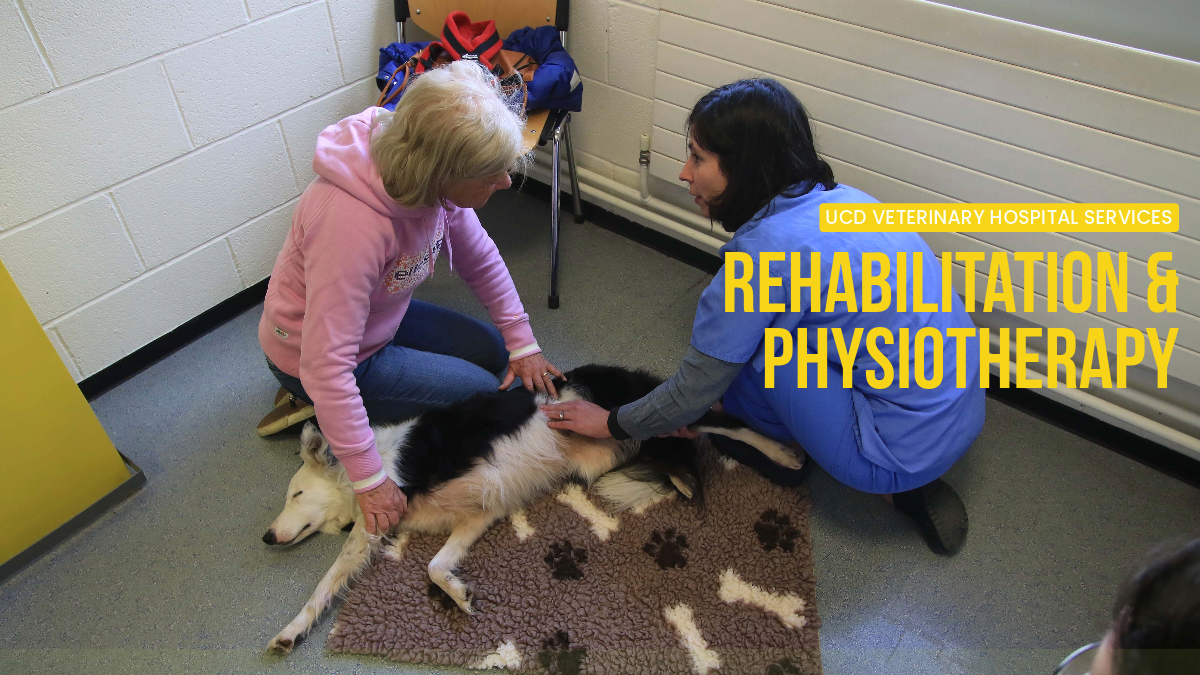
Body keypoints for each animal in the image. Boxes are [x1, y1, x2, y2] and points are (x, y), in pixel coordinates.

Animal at [266, 362, 801, 653]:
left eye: (295, 494)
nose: (267, 537)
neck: (370, 468)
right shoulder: (477, 513)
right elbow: (432, 567)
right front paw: (460, 594)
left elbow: (334, 581)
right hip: (626, 446)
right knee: (689, 442)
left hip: (640, 416)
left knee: (720, 422)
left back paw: (783, 452)